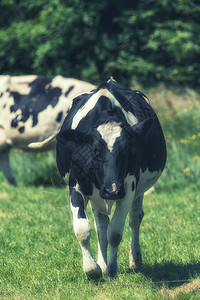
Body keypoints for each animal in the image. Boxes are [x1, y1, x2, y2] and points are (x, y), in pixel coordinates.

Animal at [30, 78, 166, 278]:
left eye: (127, 150)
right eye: (93, 150)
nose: (112, 190)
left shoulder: (128, 188)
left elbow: (115, 233)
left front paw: (111, 269)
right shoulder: (76, 186)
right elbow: (82, 229)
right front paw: (93, 269)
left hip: (137, 191)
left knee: (134, 219)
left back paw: (134, 261)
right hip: (95, 195)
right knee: (101, 224)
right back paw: (101, 263)